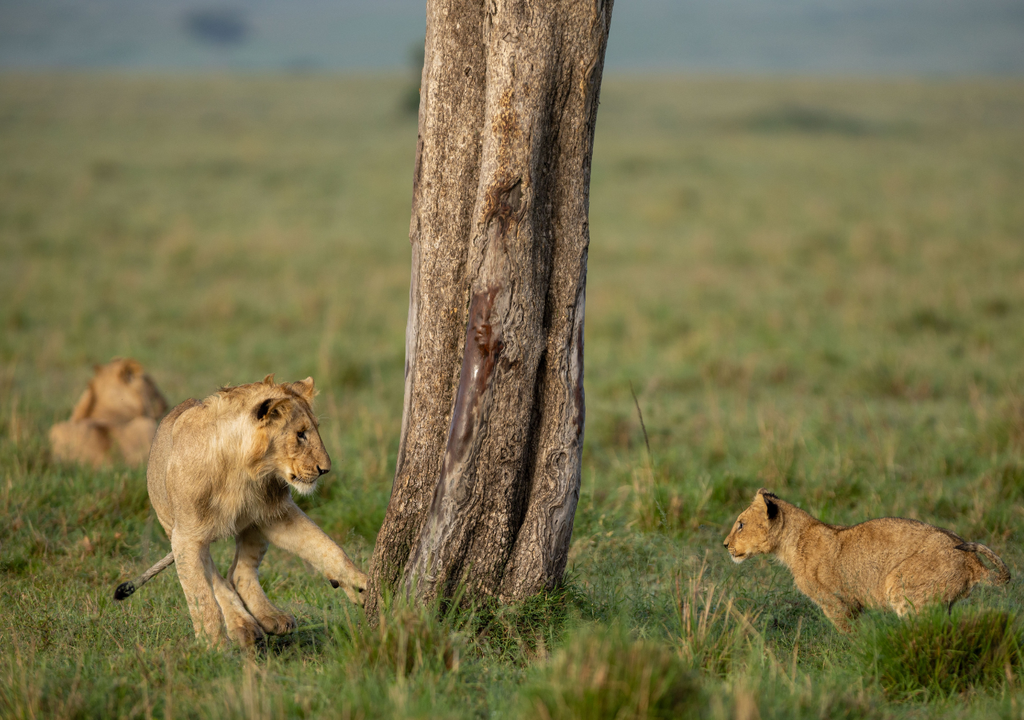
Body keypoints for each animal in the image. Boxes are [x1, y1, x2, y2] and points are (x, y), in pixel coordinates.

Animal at [113, 374, 367, 647]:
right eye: (300, 434)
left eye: (315, 429)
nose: (325, 469)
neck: (241, 469)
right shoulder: (186, 536)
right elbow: (200, 595)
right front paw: (212, 647)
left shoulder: (277, 513)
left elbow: (325, 546)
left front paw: (361, 585)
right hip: (173, 527)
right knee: (219, 580)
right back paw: (243, 627)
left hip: (255, 523)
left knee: (239, 573)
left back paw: (271, 617)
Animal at [724, 489, 1010, 632]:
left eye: (740, 524)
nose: (725, 545)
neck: (792, 542)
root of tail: (973, 561)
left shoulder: (836, 602)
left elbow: (850, 635)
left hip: (901, 587)